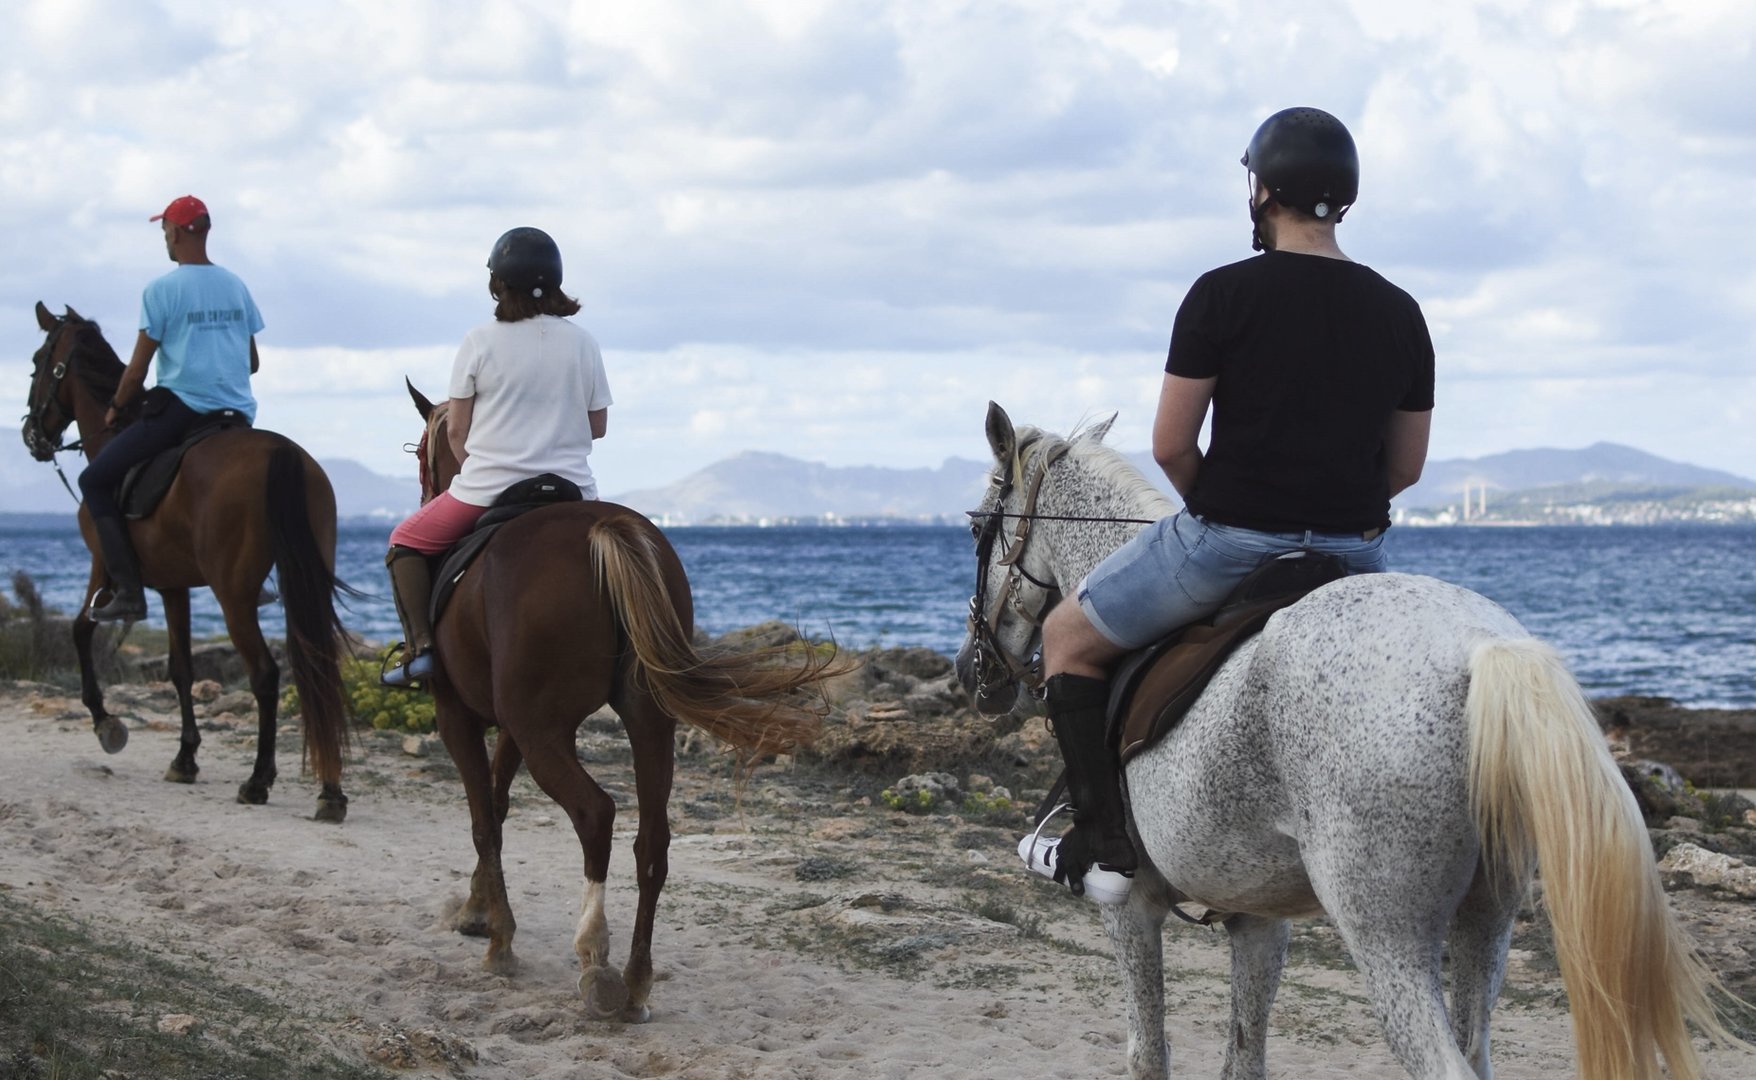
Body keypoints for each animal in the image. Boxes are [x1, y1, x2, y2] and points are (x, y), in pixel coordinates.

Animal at [22, 302, 352, 822]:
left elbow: (81, 630)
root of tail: (282, 453)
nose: (30, 434)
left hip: (233, 595)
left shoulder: (103, 567)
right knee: (319, 671)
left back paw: (258, 781)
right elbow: (181, 669)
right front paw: (185, 757)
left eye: (38, 362)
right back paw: (330, 792)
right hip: (304, 581)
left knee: (265, 675)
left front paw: (106, 723)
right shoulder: (175, 587)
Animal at [405, 382, 839, 1021]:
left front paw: (497, 935)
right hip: (642, 720)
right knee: (651, 839)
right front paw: (478, 909)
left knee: (595, 814)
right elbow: (499, 806)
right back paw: (635, 978)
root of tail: (602, 530)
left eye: (420, 454)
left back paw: (596, 960)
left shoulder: (459, 714)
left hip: (544, 732)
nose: (427, 493)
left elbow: (485, 818)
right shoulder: (513, 726)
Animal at [953, 402, 1740, 1080]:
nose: (972, 669)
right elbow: (1244, 1057)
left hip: (1384, 933)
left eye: (974, 529)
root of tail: (1478, 648)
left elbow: (1149, 1056)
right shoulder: (1258, 920)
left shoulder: (1130, 907)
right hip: (1489, 917)